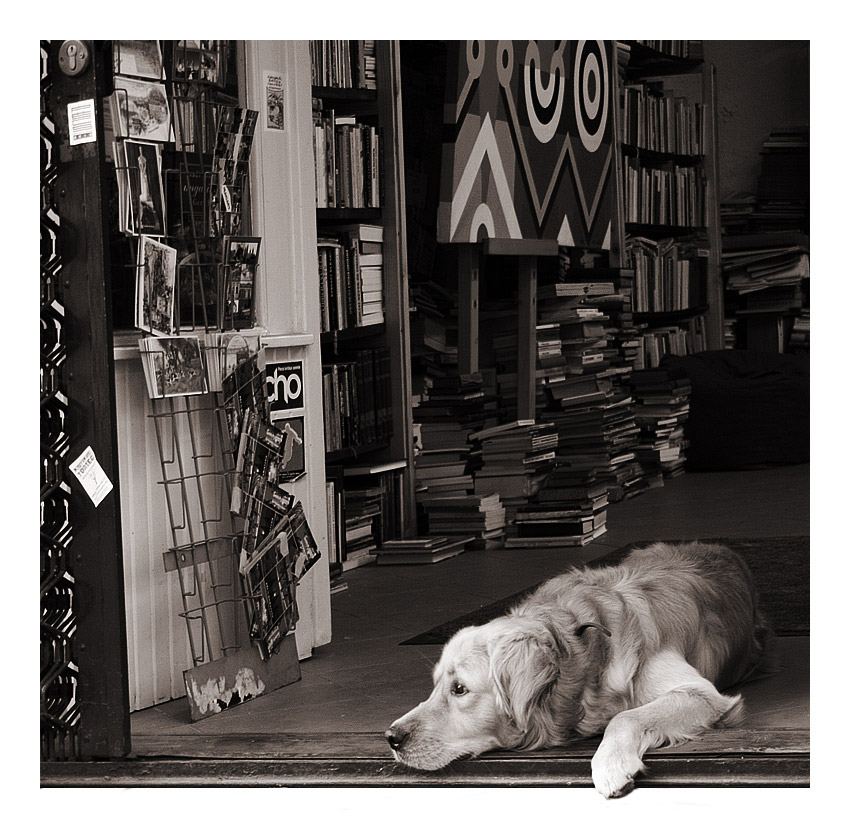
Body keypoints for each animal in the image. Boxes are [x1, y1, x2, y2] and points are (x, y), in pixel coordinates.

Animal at [384, 544, 776, 796]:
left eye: (460, 689)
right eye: (435, 686)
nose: (391, 737)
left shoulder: (704, 695)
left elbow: (626, 716)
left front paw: (610, 762)